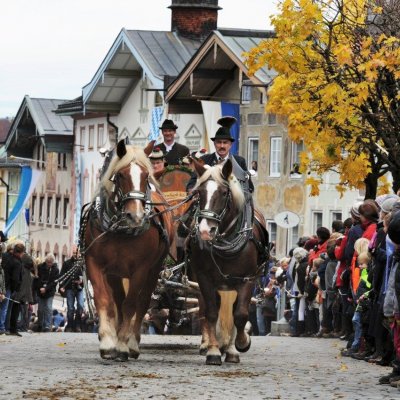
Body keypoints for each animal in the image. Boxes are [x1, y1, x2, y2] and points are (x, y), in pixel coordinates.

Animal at [188, 158, 268, 364]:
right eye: (199, 193)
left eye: (224, 193)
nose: (205, 231)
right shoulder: (204, 279)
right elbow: (211, 313)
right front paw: (213, 351)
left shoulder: (247, 279)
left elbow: (240, 315)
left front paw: (242, 342)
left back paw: (231, 350)